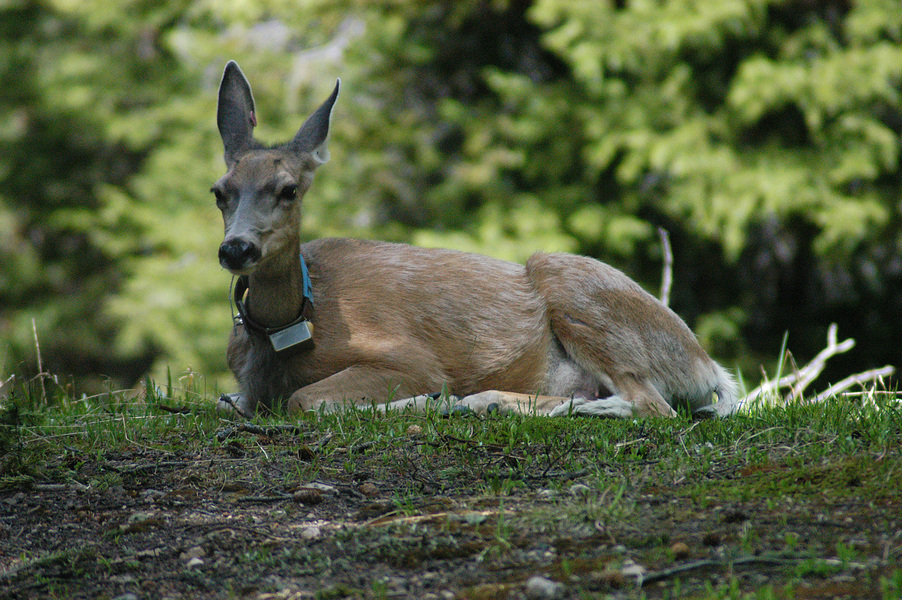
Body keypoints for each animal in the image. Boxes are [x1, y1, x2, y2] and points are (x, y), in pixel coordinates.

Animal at [214, 59, 740, 418]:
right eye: (219, 191)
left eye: (288, 190)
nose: (236, 248)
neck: (298, 323)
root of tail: (707, 365)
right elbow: (227, 399)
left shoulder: (409, 357)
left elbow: (305, 400)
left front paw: (427, 401)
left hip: (578, 288)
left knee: (652, 405)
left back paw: (483, 402)